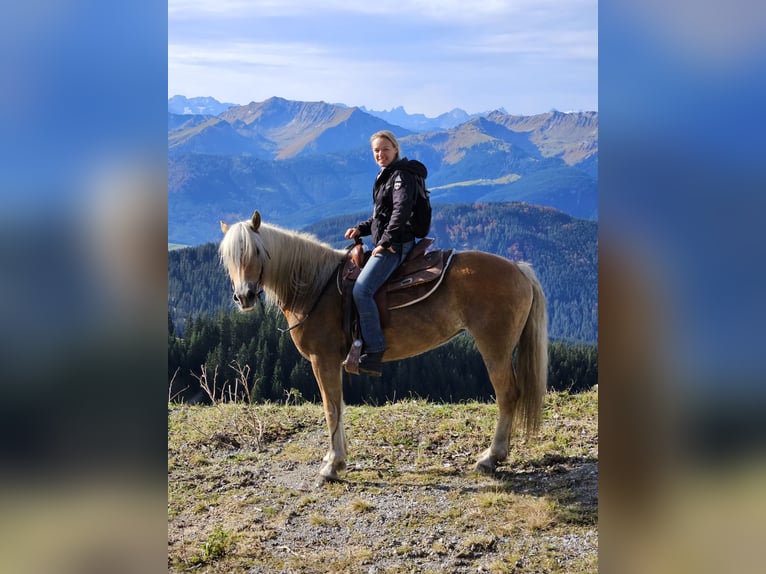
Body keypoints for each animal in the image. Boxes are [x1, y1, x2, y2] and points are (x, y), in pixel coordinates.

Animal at [219, 209, 548, 484]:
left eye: (256, 251)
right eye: (229, 258)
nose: (244, 296)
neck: (315, 286)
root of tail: (518, 268)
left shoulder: (322, 359)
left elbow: (331, 408)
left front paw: (332, 466)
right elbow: (339, 406)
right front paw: (337, 457)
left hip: (495, 347)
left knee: (507, 394)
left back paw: (491, 457)